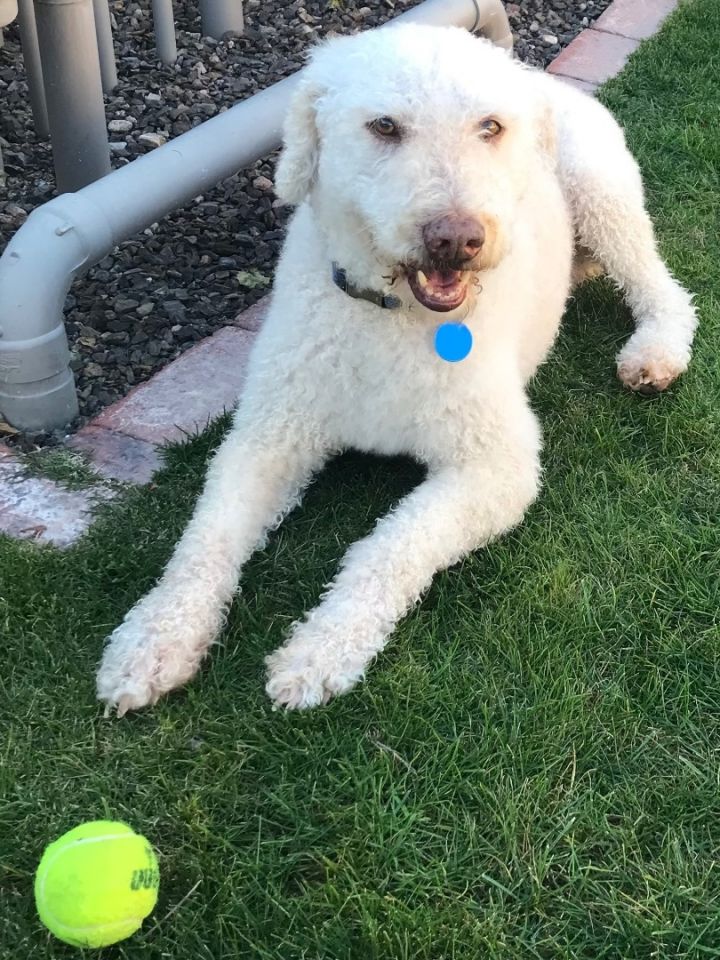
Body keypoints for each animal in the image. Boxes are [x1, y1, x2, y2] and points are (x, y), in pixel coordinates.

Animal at [97, 24, 696, 712]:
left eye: (490, 126)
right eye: (384, 126)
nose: (456, 238)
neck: (392, 317)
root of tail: (544, 81)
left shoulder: (496, 468)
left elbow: (387, 547)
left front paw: (320, 650)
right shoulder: (267, 437)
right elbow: (205, 539)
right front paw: (154, 638)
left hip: (603, 194)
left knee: (660, 286)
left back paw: (656, 351)